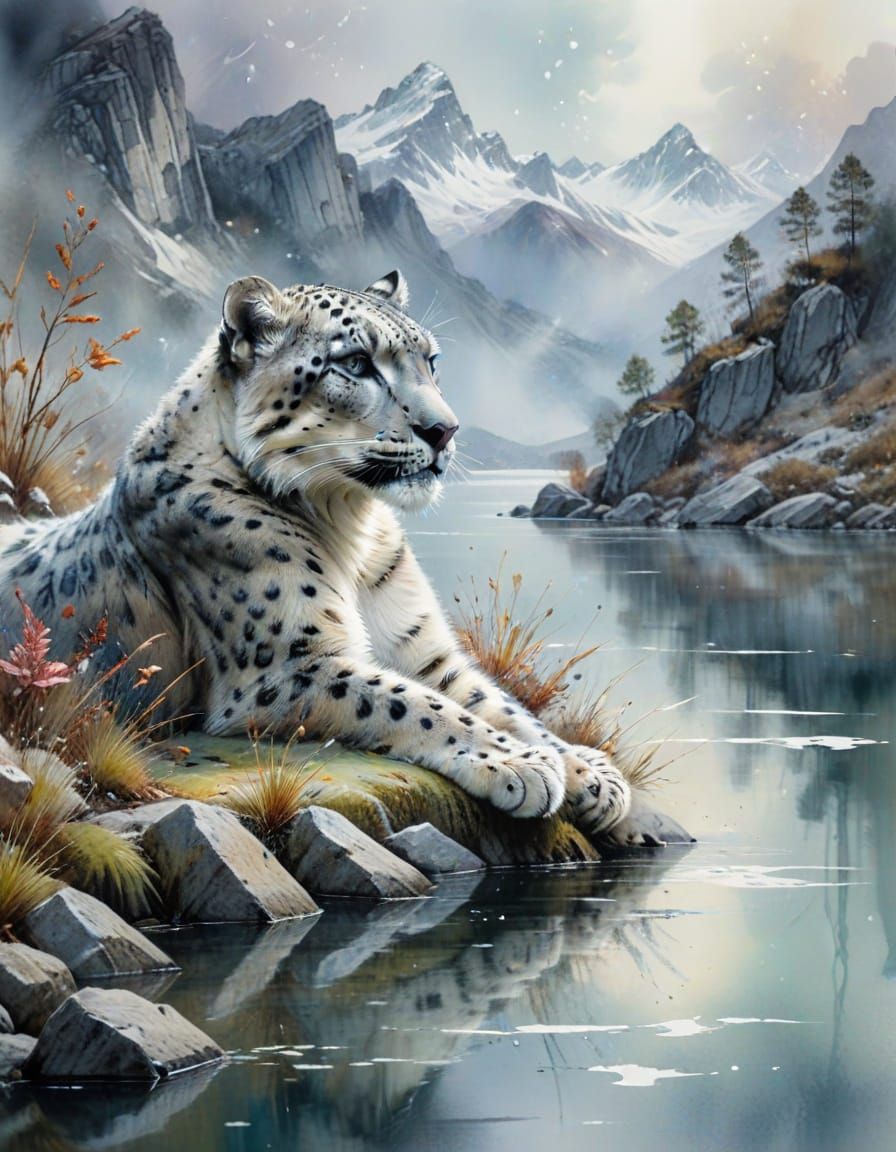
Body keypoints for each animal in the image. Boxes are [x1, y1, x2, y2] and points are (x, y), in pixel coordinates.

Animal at [0, 271, 658, 845]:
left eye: (431, 361)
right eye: (357, 363)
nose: (445, 430)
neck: (351, 527)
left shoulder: (424, 651)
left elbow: (493, 702)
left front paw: (588, 771)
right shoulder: (285, 666)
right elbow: (415, 705)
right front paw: (521, 764)